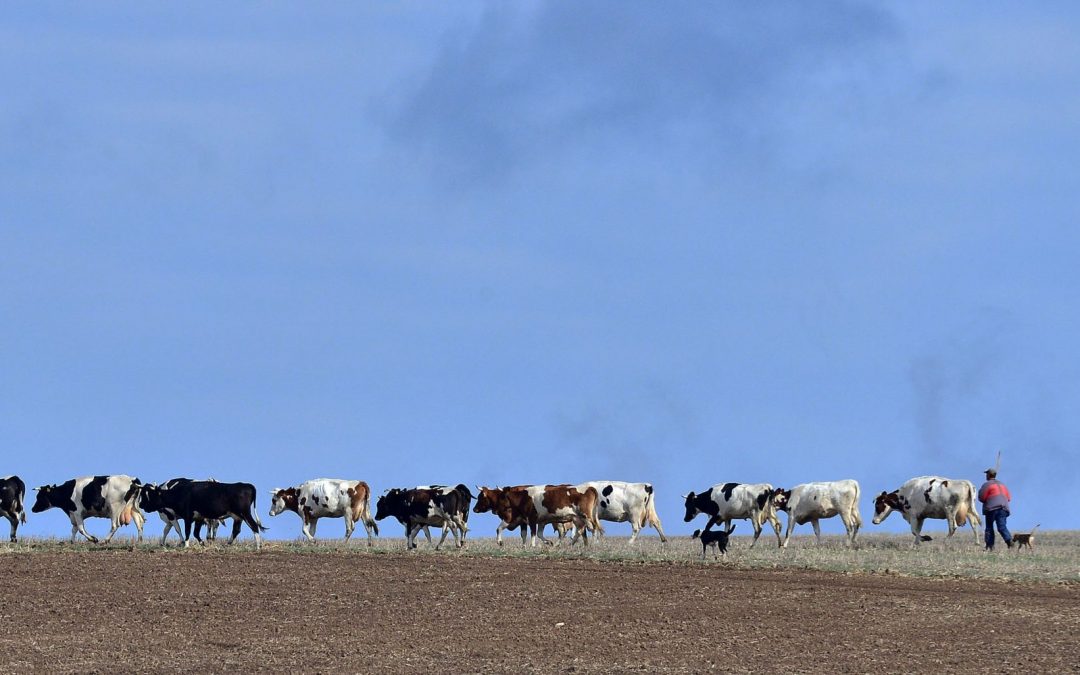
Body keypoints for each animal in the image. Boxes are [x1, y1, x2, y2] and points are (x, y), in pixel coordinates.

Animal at [138, 479, 266, 548]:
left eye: (149, 495)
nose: (141, 505)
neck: (180, 493)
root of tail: (247, 485)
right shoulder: (199, 517)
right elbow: (195, 533)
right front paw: (202, 543)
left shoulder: (187, 516)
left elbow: (187, 531)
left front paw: (186, 545)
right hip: (237, 517)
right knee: (236, 530)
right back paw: (227, 544)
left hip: (245, 513)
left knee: (254, 526)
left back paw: (258, 547)